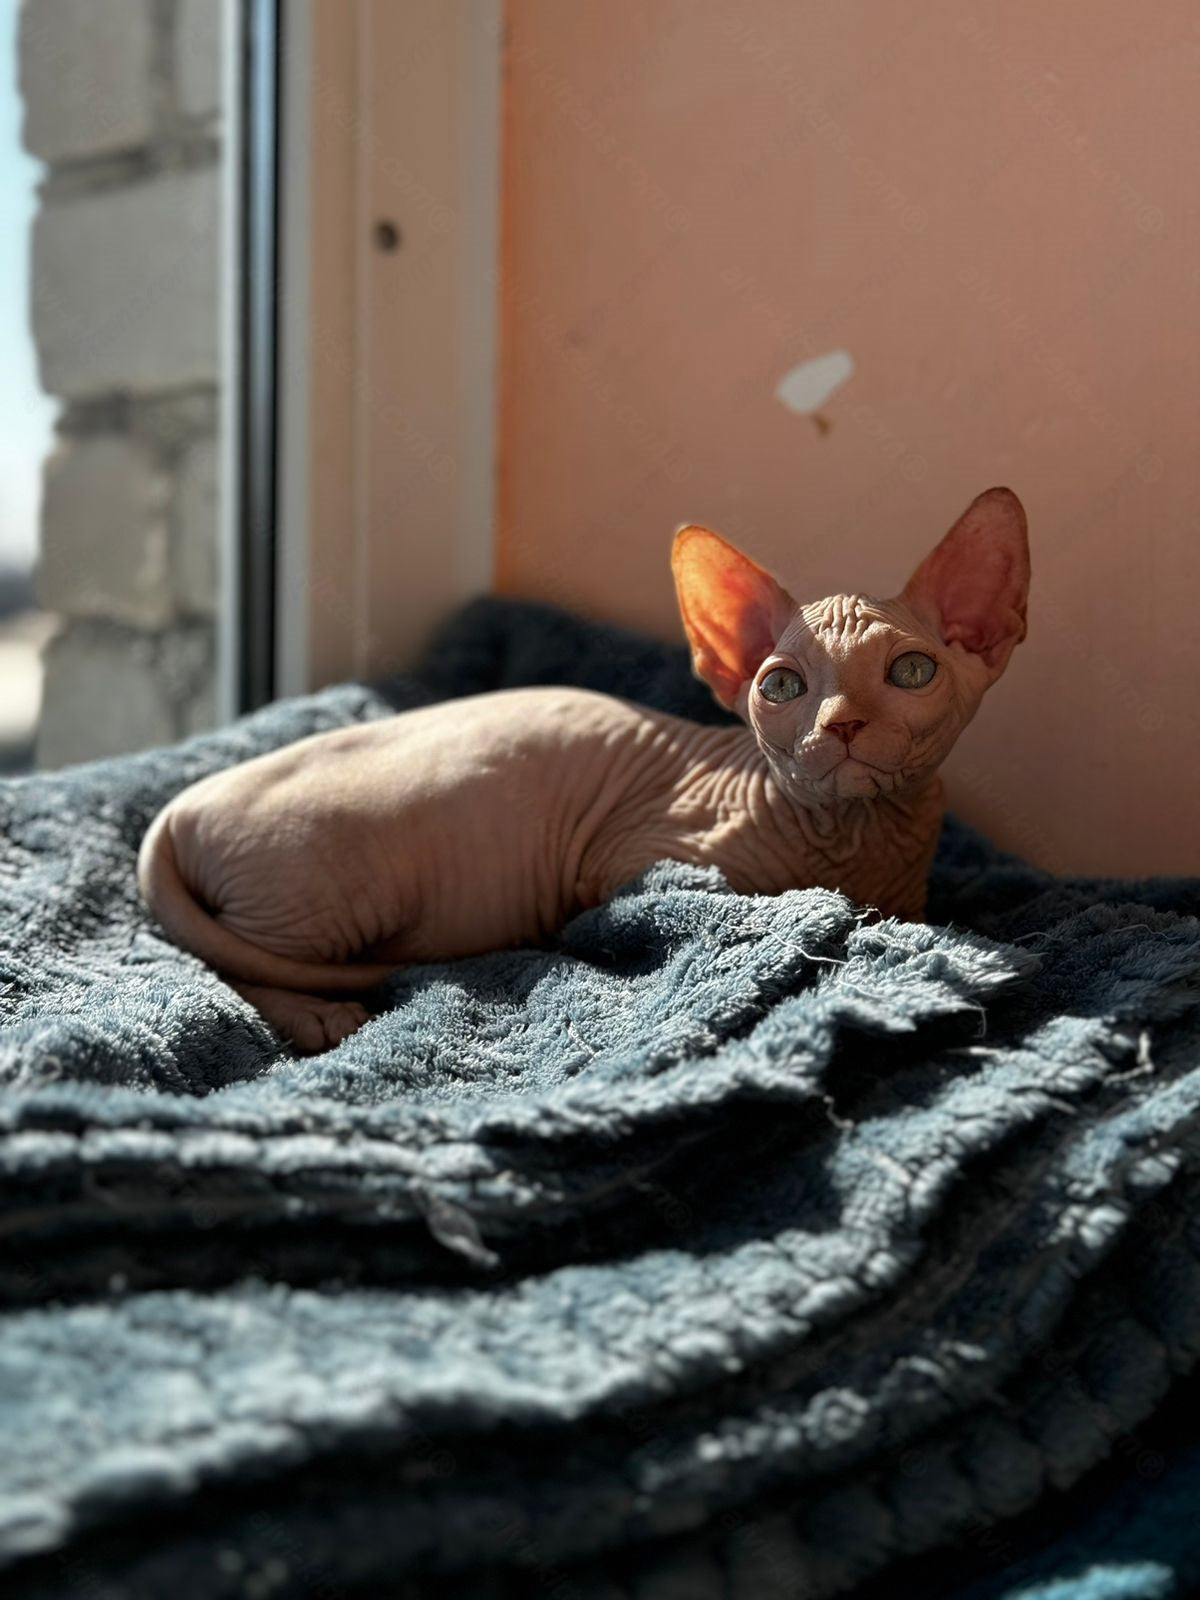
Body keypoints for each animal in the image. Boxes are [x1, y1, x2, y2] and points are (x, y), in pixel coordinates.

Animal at [136, 480, 1030, 1049]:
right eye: (782, 686)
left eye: (910, 671)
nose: (843, 723)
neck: (855, 840)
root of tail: (178, 809)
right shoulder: (632, 865)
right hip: (338, 886)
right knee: (206, 956)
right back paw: (315, 1017)